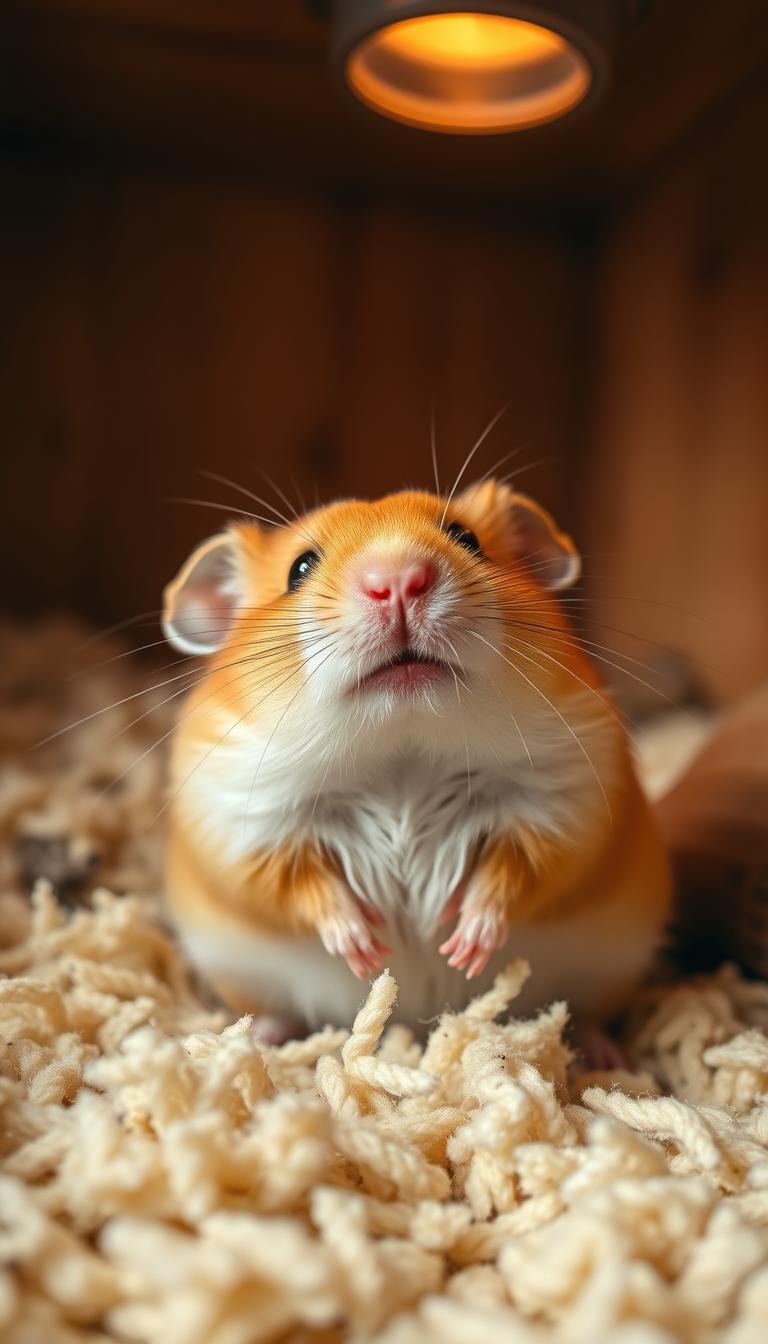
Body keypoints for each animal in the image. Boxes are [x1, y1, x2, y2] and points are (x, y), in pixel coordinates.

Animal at [161, 480, 671, 1038]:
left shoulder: (561, 807)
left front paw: (460, 948)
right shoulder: (249, 828)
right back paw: (255, 1036)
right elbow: (305, 888)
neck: (403, 757)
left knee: (588, 1016)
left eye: (467, 538)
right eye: (299, 568)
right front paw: (367, 949)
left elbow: (513, 872)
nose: (398, 581)